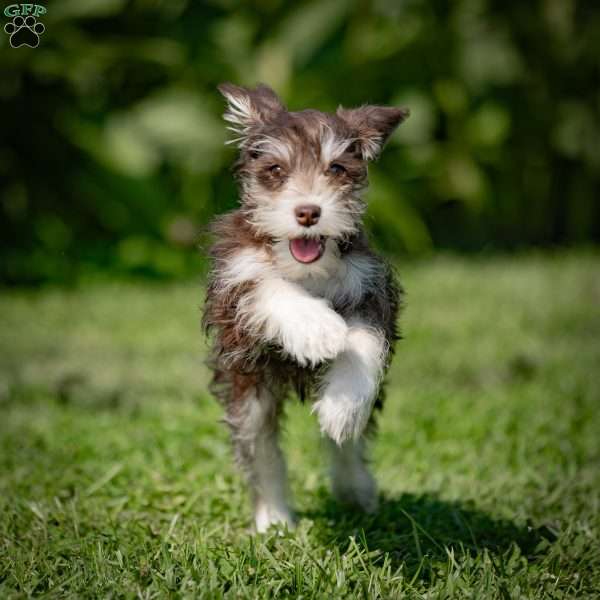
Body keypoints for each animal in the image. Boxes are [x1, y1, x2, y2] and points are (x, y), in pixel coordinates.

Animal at [203, 82, 408, 532]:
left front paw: (342, 406)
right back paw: (274, 518)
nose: (308, 212)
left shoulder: (371, 291)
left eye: (337, 169)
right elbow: (269, 288)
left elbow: (363, 343)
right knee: (261, 449)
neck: (309, 271)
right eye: (276, 170)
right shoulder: (235, 289)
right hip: (248, 393)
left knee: (345, 447)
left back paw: (354, 486)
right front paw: (318, 329)